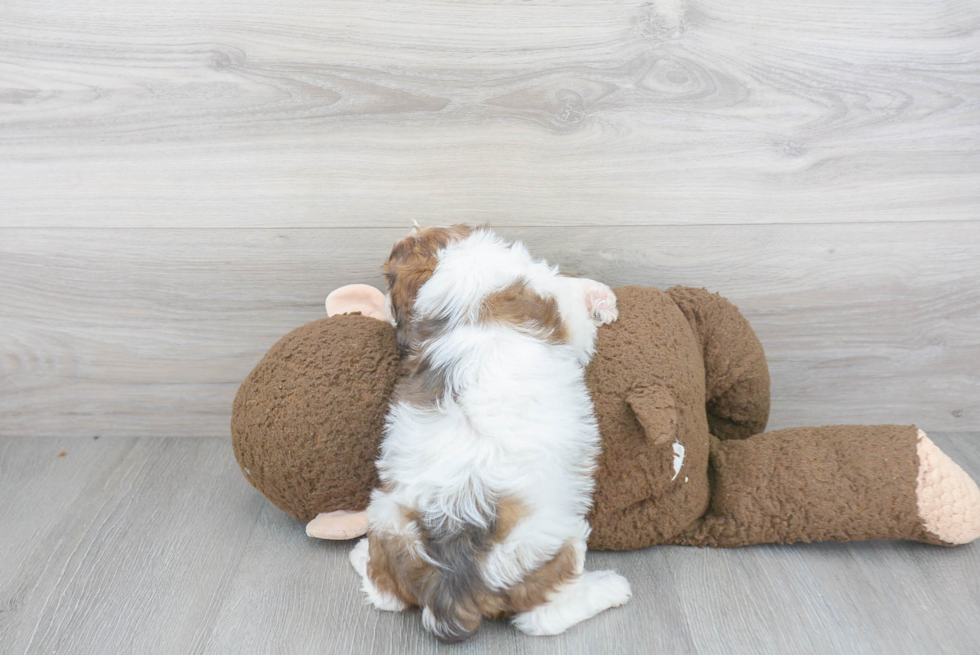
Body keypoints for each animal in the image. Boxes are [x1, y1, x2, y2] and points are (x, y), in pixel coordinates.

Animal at [348, 224, 632, 640]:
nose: (384, 305)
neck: (452, 259)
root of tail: (448, 586)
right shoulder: (562, 311)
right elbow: (572, 295)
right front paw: (601, 297)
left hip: (387, 516)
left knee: (387, 594)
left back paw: (359, 554)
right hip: (548, 545)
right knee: (543, 616)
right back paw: (611, 588)